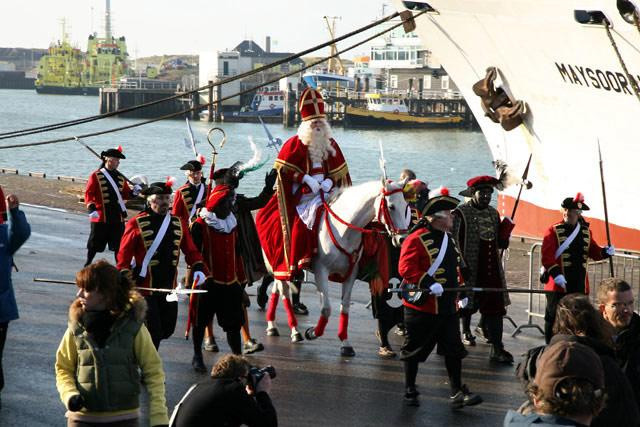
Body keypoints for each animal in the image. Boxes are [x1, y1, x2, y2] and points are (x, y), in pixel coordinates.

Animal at [264, 179, 410, 356]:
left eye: (405, 205)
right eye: (391, 206)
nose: (402, 239)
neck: (344, 230)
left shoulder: (351, 273)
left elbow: (345, 307)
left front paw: (345, 343)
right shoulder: (321, 271)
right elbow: (326, 309)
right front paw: (312, 332)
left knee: (277, 289)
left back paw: (273, 325)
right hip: (279, 264)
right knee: (283, 290)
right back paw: (293, 331)